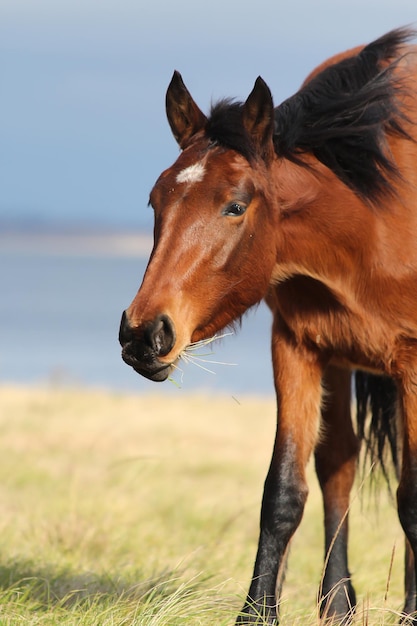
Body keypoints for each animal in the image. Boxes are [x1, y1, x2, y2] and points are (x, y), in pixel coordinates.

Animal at [118, 29, 416, 624]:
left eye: (235, 206)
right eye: (156, 200)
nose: (144, 334)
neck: (373, 221)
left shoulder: (415, 362)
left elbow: (415, 499)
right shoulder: (297, 348)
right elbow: (283, 492)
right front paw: (257, 614)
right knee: (337, 466)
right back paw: (338, 605)